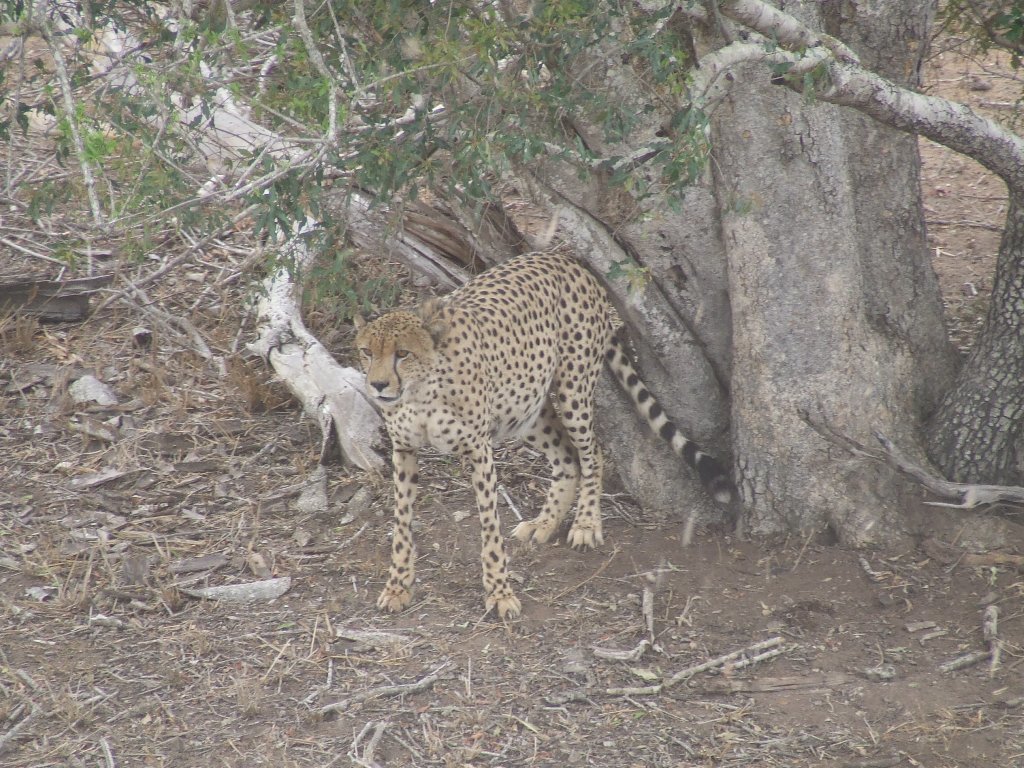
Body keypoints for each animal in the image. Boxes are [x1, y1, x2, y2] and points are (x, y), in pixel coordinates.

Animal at [356, 252, 733, 618]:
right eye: (366, 352)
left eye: (402, 354)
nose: (377, 385)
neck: (420, 392)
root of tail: (564, 258)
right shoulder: (404, 450)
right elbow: (402, 524)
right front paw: (397, 586)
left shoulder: (479, 450)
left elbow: (489, 527)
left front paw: (500, 592)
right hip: (524, 407)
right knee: (567, 459)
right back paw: (545, 522)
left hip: (571, 391)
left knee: (592, 452)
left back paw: (585, 523)